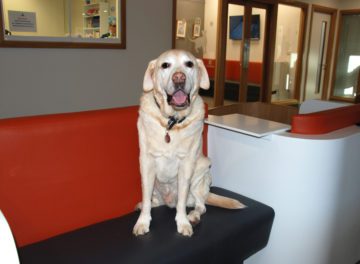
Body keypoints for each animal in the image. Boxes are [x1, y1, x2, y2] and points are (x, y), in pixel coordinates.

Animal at [134, 49, 246, 237]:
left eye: (189, 64)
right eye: (165, 65)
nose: (179, 78)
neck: (172, 122)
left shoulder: (186, 166)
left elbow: (182, 201)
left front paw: (183, 222)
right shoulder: (146, 163)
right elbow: (146, 197)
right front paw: (143, 221)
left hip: (200, 175)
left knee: (201, 206)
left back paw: (192, 216)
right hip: (158, 184)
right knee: (156, 200)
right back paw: (145, 205)